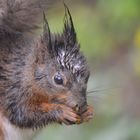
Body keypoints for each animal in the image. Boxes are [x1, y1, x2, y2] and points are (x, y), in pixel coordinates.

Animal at [0, 0, 93, 140]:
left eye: (87, 74)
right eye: (58, 79)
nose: (81, 105)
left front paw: (88, 112)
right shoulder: (11, 91)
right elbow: (22, 114)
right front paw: (61, 111)